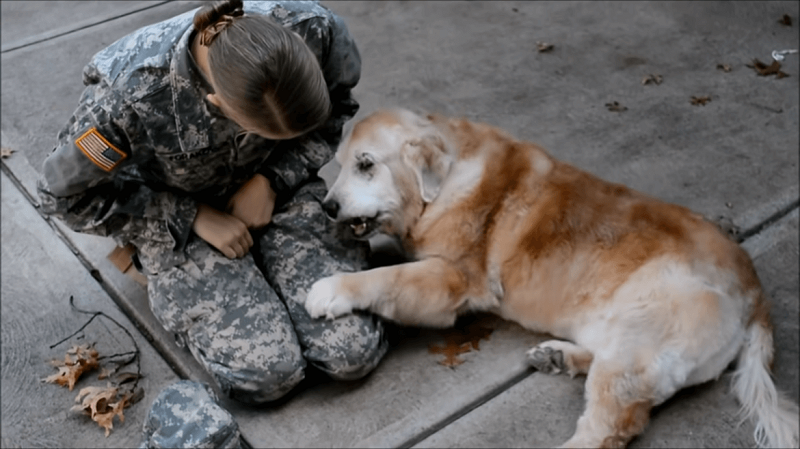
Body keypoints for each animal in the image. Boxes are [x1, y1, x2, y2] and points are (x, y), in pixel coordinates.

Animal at [302, 108, 800, 448]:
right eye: (341, 163)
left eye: (366, 164)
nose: (327, 206)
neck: (442, 184)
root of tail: (755, 293)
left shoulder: (451, 279)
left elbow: (387, 276)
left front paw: (330, 289)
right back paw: (559, 356)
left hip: (638, 343)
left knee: (609, 427)